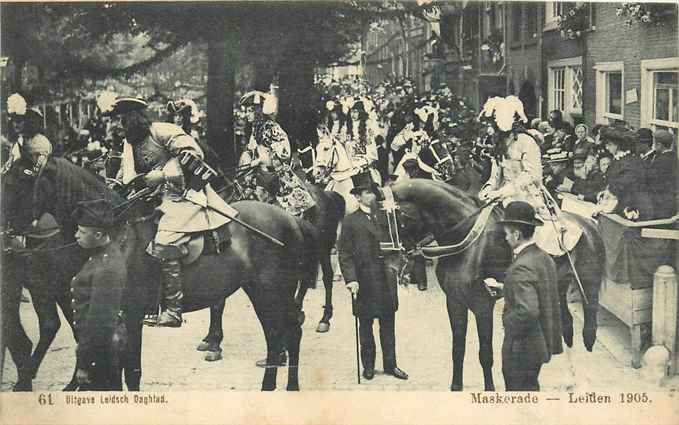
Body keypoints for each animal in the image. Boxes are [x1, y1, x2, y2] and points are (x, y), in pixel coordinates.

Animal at [2, 157, 314, 390]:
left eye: (18, 182)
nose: (7, 234)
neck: (116, 233)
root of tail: (292, 220)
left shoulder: (131, 315)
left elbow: (131, 372)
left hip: (271, 292)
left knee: (289, 331)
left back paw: (290, 387)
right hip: (262, 293)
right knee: (276, 336)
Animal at [382, 179, 604, 390]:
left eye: (394, 218)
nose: (390, 264)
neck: (468, 242)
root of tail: (588, 223)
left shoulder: (482, 306)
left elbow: (485, 354)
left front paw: (489, 389)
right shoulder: (455, 302)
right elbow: (458, 349)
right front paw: (456, 387)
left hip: (588, 287)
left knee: (589, 332)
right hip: (558, 286)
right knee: (567, 325)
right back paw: (568, 378)